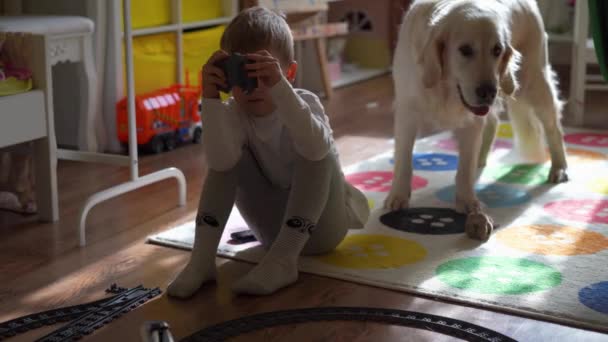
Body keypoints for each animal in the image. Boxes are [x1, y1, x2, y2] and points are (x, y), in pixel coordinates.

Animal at [388, 0, 568, 240]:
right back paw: (481, 160)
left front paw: (467, 202)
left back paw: (559, 168)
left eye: (497, 50)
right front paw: (398, 196)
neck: (447, 88)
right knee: (492, 124)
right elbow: (404, 161)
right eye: (465, 50)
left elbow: (464, 168)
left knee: (553, 128)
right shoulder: (407, 111)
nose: (488, 92)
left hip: (534, 81)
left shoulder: (471, 121)